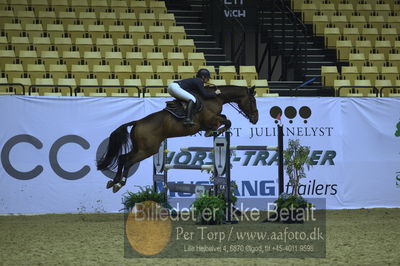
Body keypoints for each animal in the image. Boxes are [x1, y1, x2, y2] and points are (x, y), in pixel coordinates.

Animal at [97, 84, 260, 191]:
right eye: (253, 101)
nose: (255, 119)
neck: (215, 98)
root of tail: (137, 122)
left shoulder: (212, 119)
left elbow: (225, 118)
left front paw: (214, 131)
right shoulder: (209, 119)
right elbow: (226, 121)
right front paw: (216, 131)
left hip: (140, 148)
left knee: (122, 158)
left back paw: (114, 182)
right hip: (147, 150)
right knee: (128, 161)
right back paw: (119, 183)